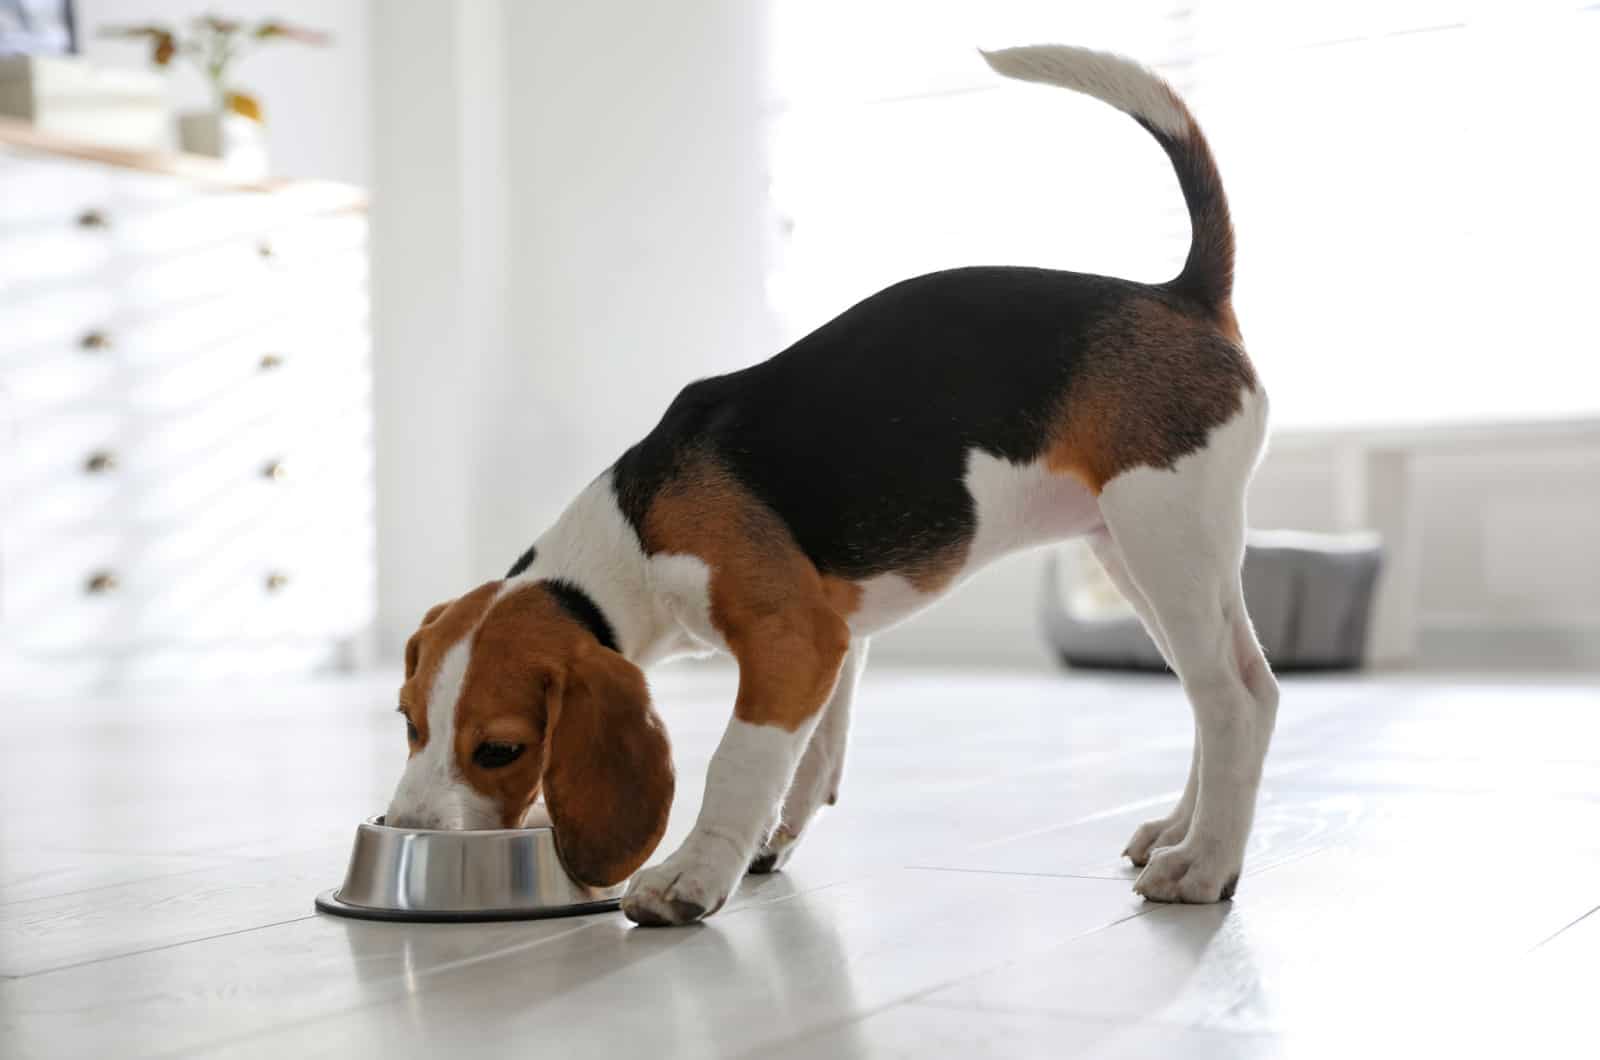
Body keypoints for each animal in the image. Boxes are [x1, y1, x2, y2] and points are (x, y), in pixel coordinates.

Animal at [387, 47, 1286, 928]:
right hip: (1137, 552)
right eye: (408, 721)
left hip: (1165, 534)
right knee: (1228, 690)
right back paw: (1179, 831)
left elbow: (739, 761)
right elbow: (810, 758)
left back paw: (1203, 865)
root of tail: (1182, 294)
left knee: (1236, 699)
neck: (631, 535)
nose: (406, 828)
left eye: (500, 749)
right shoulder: (834, 637)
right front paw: (764, 843)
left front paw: (689, 876)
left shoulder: (793, 638)